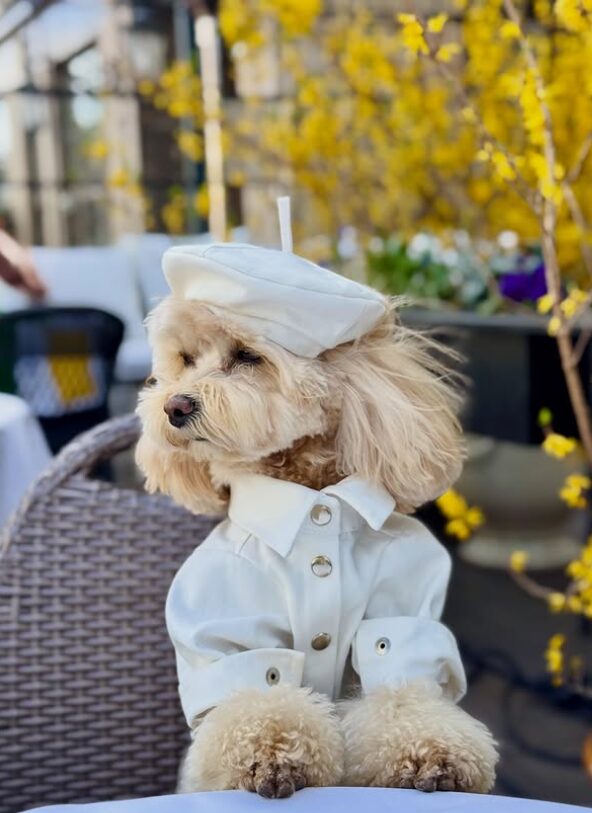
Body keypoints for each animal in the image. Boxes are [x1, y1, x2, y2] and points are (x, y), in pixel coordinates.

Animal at [135, 242, 498, 798]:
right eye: (186, 360)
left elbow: (404, 696)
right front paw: (271, 755)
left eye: (247, 356)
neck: (312, 506)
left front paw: (433, 755)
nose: (173, 406)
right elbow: (259, 695)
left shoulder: (401, 616)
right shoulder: (227, 628)